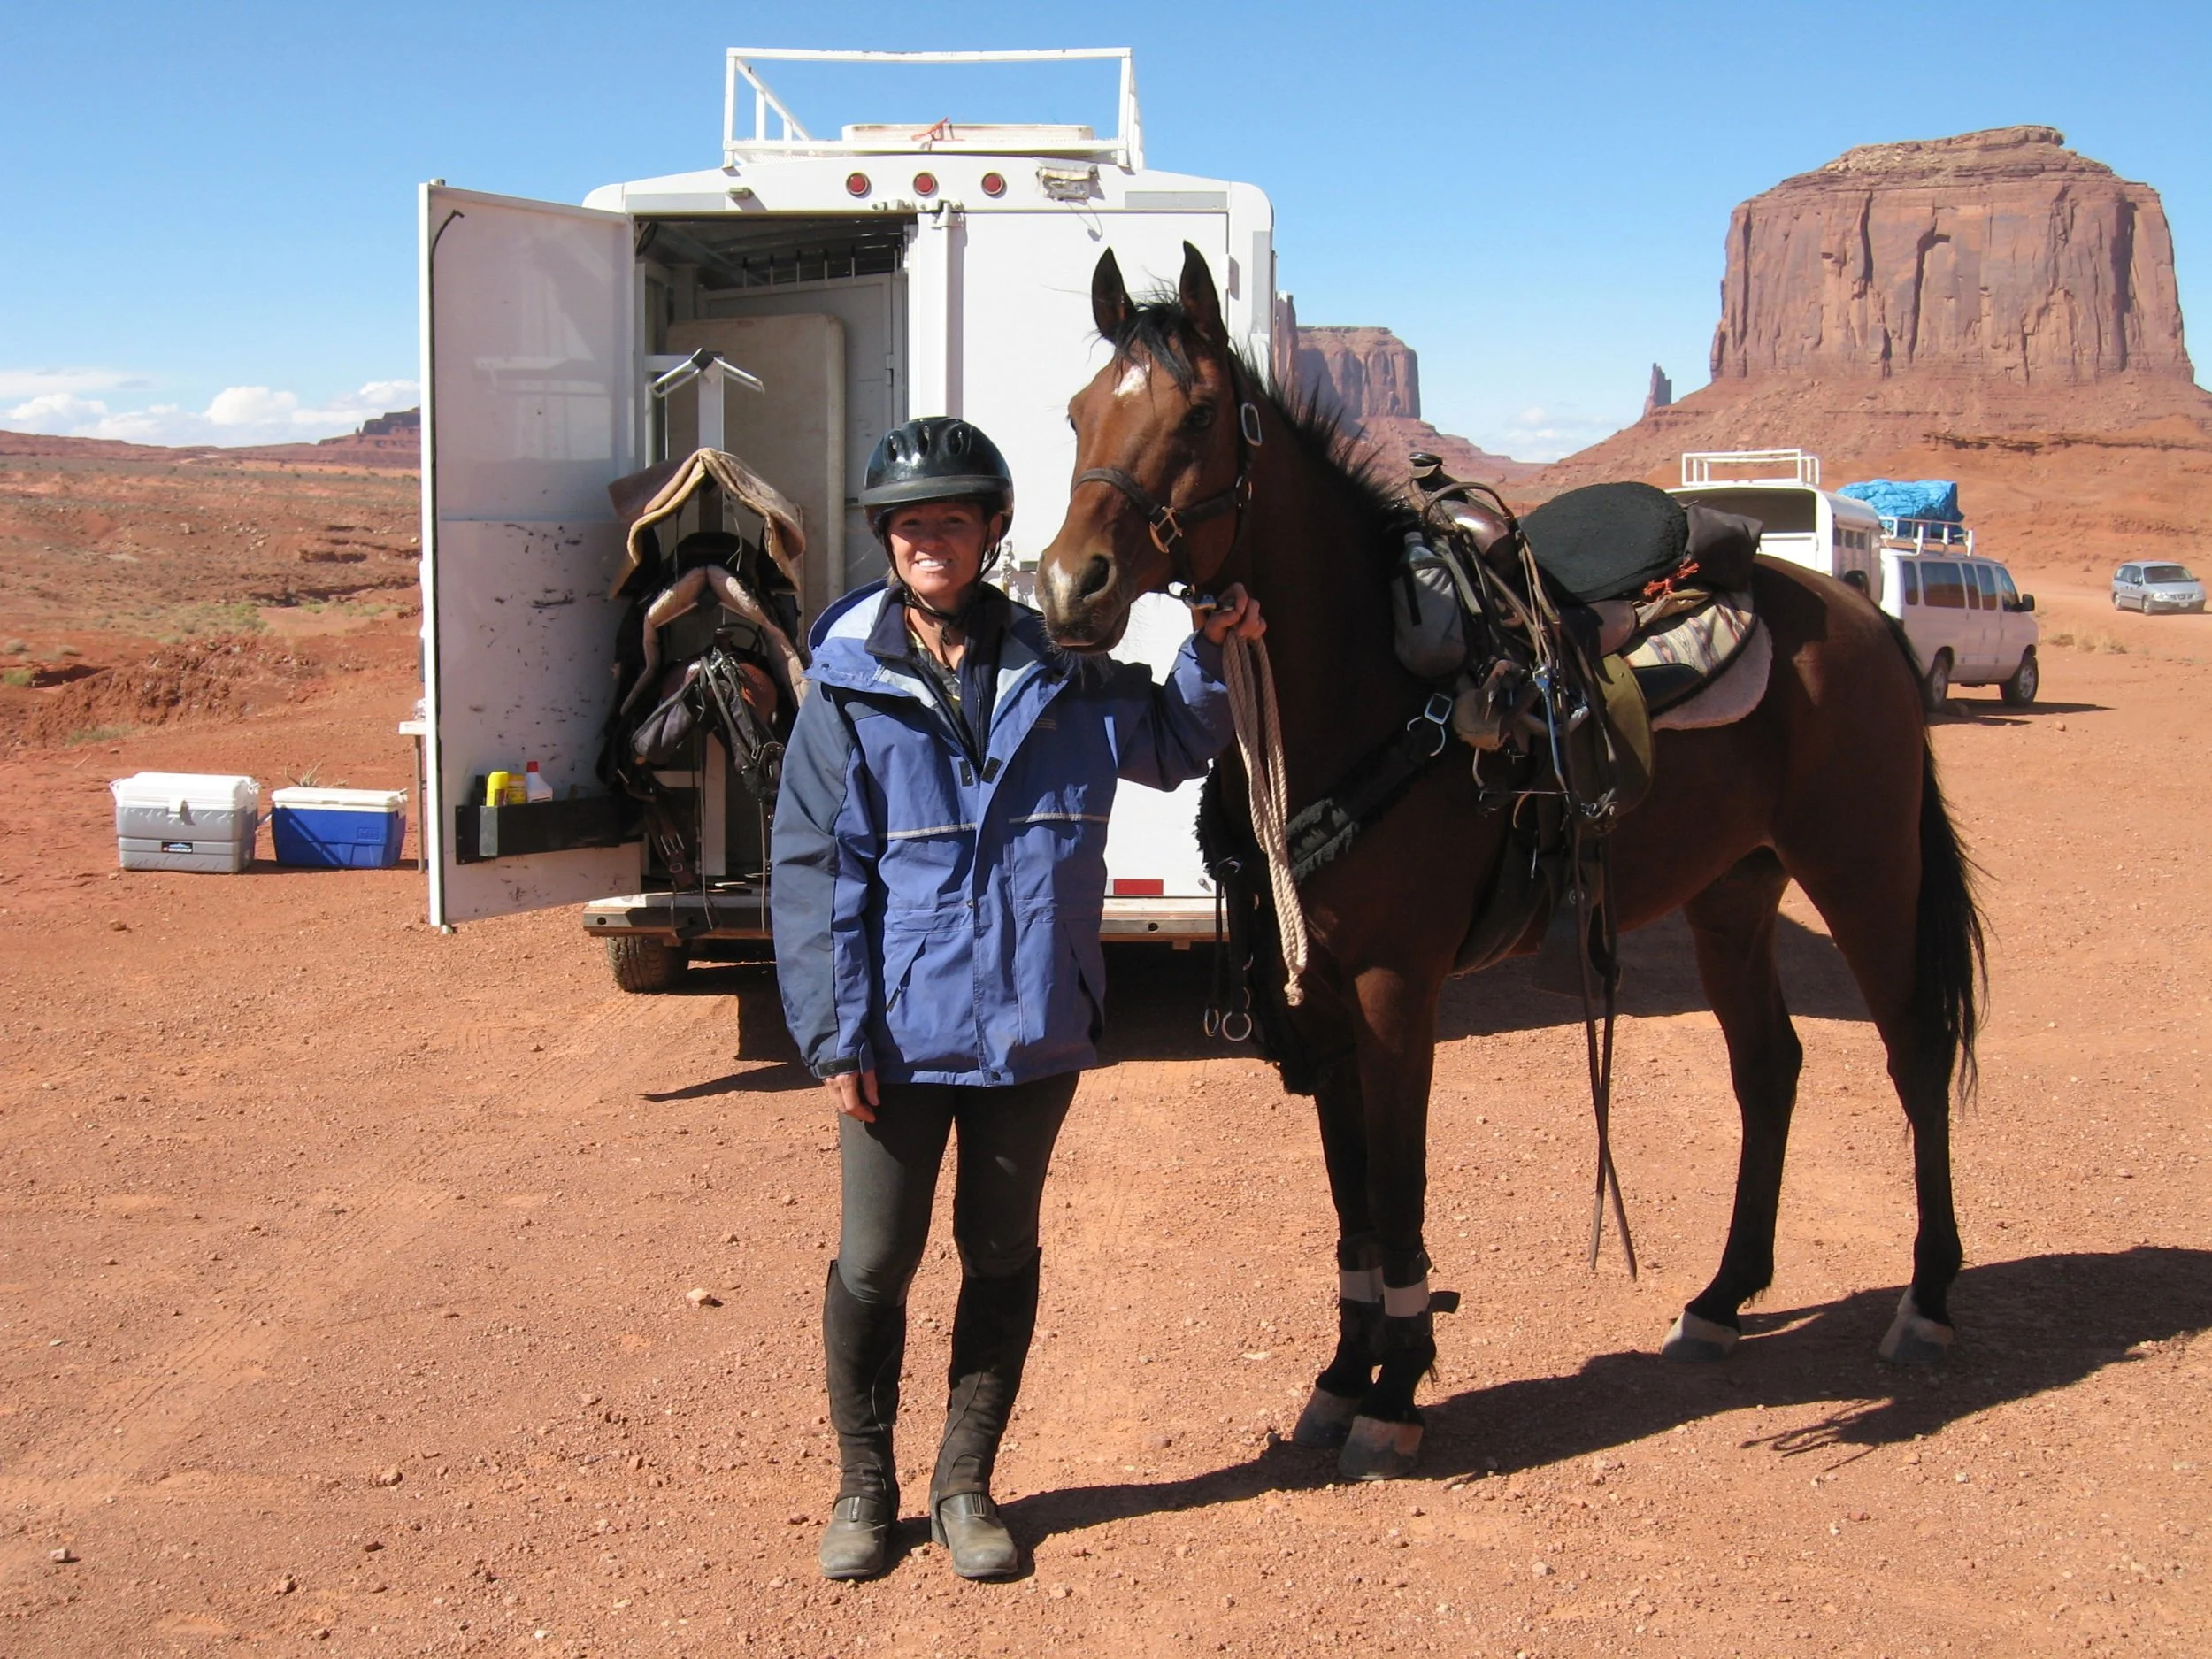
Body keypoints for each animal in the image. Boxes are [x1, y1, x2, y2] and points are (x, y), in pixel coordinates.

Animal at [1035, 243, 1986, 1480]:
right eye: (1076, 412)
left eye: (1197, 413)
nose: (1070, 588)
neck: (1374, 687)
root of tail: (1863, 620)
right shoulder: (1321, 1000)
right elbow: (1352, 1203)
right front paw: (1342, 1376)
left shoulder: (1396, 990)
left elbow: (1399, 1192)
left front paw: (1395, 1394)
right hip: (1733, 892)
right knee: (1769, 1066)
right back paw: (1720, 1300)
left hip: (1862, 867)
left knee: (1915, 1049)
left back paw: (1925, 1300)